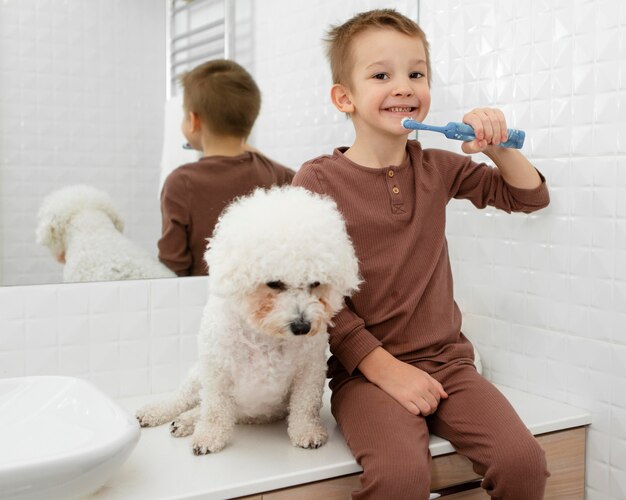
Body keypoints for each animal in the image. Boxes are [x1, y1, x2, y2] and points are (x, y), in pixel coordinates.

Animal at [136, 187, 360, 454]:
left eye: (315, 283)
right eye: (274, 283)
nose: (302, 327)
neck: (264, 335)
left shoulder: (310, 370)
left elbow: (305, 406)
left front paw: (307, 431)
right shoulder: (216, 370)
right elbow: (214, 410)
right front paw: (209, 436)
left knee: (201, 408)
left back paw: (185, 421)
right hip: (197, 376)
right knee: (183, 399)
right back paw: (158, 412)